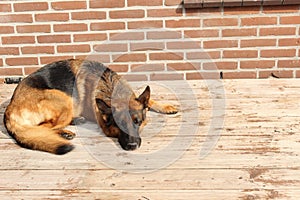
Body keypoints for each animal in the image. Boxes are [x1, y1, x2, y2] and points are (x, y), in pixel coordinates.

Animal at [3, 59, 178, 155]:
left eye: (137, 122)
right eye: (118, 124)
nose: (132, 146)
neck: (110, 85)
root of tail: (10, 107)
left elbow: (149, 101)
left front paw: (167, 106)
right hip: (64, 99)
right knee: (43, 127)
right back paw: (65, 132)